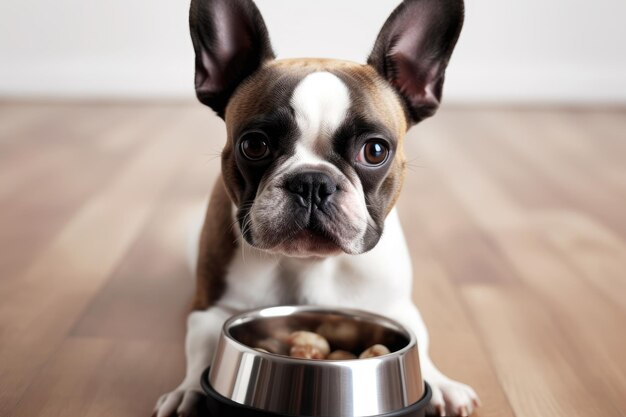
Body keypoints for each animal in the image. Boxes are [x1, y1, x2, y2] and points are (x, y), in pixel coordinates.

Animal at [155, 0, 478, 416]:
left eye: (375, 150)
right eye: (254, 145)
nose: (312, 182)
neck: (309, 263)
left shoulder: (397, 304)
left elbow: (420, 340)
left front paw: (440, 383)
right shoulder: (210, 310)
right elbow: (201, 348)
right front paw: (190, 392)